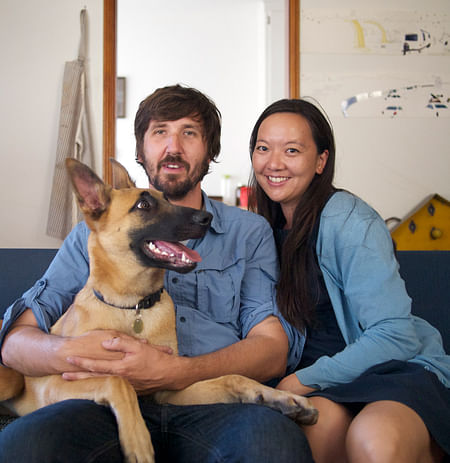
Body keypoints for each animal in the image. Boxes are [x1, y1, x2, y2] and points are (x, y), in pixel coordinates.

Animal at [0, 160, 316, 463]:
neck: (134, 307)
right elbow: (118, 381)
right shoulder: (57, 384)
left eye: (166, 198)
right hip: (11, 379)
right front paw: (138, 439)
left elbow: (232, 378)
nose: (206, 218)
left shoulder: (168, 388)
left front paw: (281, 397)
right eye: (143, 205)